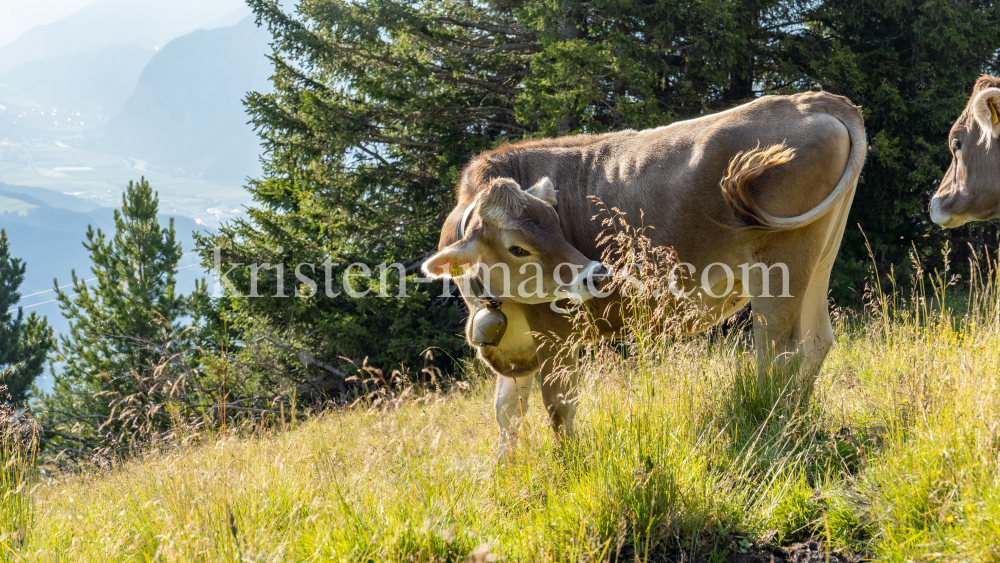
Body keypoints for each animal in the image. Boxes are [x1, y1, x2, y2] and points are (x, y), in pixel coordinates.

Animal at [422, 90, 868, 458]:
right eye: (518, 246)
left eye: (555, 223)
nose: (596, 276)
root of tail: (811, 100)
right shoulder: (517, 348)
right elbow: (506, 413)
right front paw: (506, 471)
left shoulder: (556, 334)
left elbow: (559, 407)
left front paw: (570, 469)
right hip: (820, 254)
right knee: (815, 342)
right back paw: (798, 419)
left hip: (780, 265)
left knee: (778, 350)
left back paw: (773, 427)